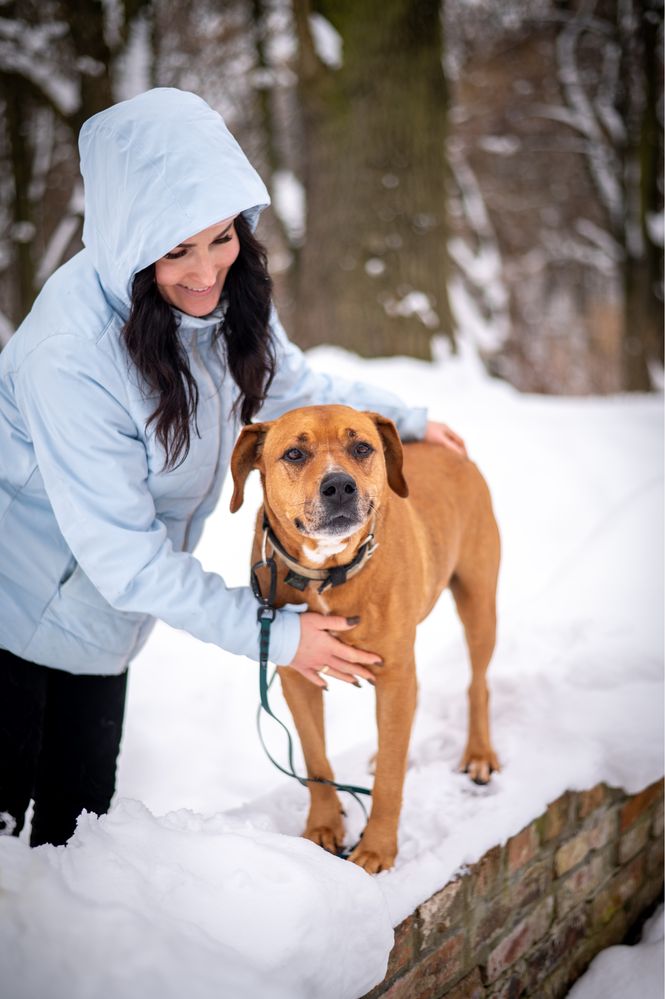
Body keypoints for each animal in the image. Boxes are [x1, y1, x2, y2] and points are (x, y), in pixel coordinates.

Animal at [230, 402, 498, 872]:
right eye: (294, 453)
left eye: (361, 448)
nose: (339, 485)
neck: (329, 572)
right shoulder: (296, 673)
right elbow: (315, 760)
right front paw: (322, 828)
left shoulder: (394, 674)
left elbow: (391, 779)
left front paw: (376, 849)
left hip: (479, 604)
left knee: (477, 684)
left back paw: (479, 754)